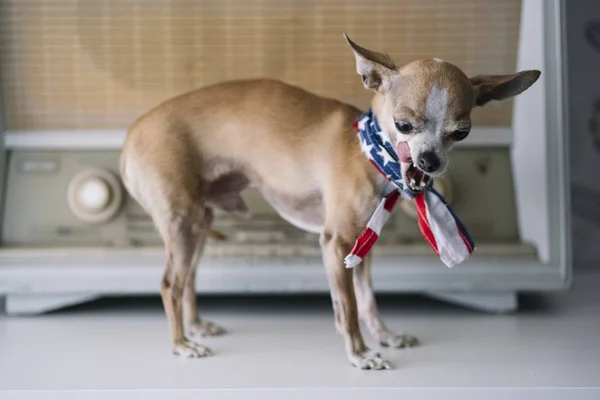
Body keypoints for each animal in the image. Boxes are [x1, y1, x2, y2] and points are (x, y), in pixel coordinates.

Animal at [119, 36, 540, 370]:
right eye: (404, 125)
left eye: (461, 132)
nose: (429, 161)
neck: (370, 154)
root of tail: (131, 137)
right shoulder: (336, 245)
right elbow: (348, 308)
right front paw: (360, 353)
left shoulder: (361, 250)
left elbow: (368, 301)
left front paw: (385, 335)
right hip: (184, 225)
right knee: (169, 285)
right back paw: (181, 344)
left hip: (196, 227)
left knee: (187, 280)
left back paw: (195, 327)